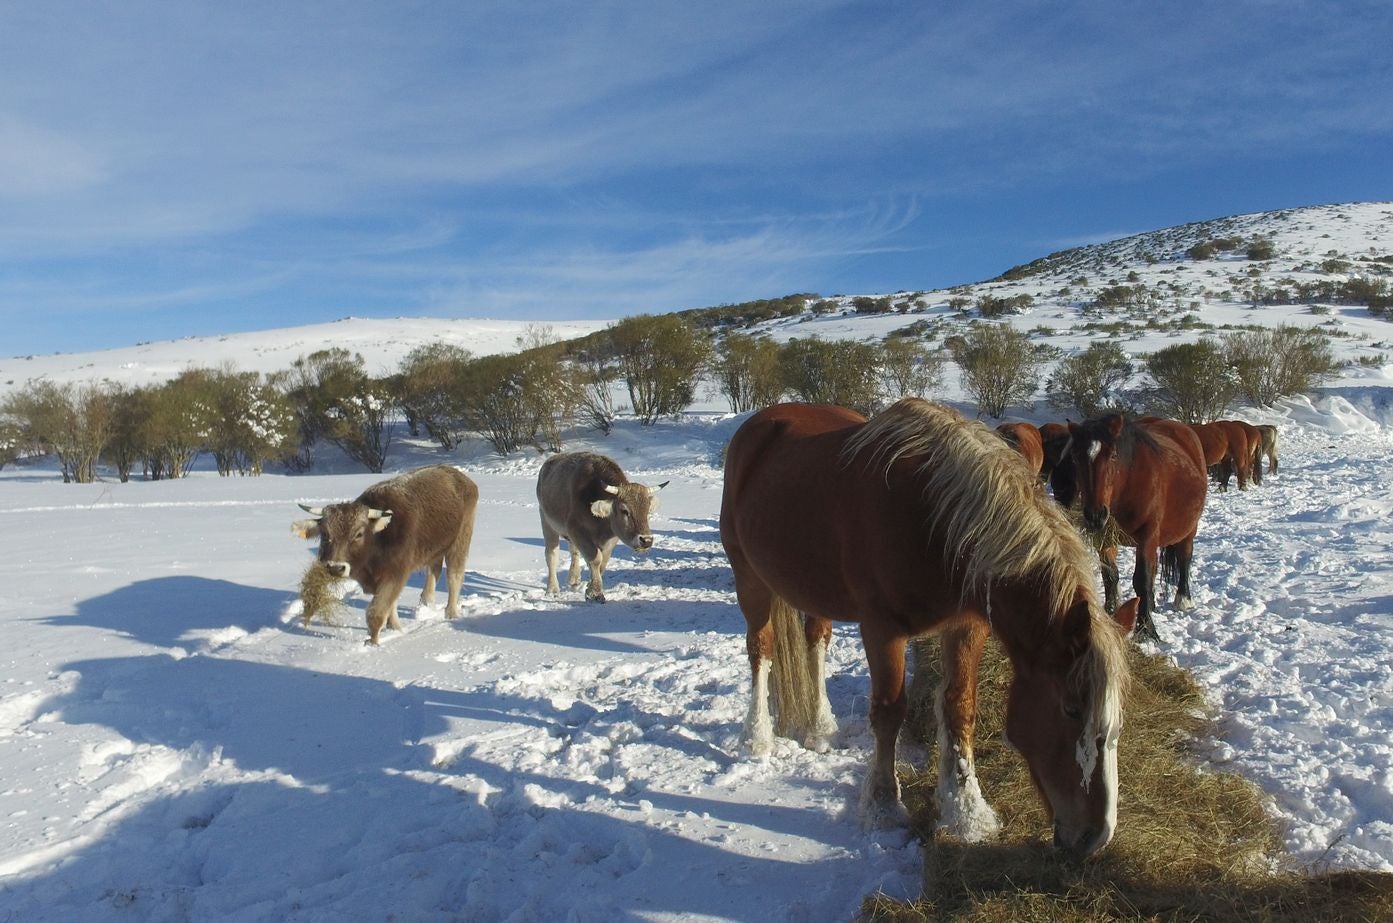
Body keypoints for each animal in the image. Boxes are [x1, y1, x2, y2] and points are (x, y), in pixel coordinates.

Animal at [534, 453, 665, 598]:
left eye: (647, 511)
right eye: (624, 511)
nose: (646, 540)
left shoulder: (610, 538)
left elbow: (603, 562)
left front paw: (590, 587)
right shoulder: (577, 530)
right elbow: (595, 559)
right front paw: (595, 592)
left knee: (574, 551)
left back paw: (574, 579)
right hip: (546, 521)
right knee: (552, 555)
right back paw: (552, 589)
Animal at [718, 398, 1131, 857]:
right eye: (1071, 709)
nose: (1096, 837)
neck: (935, 522)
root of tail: (761, 422)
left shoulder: (967, 626)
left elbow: (959, 706)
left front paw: (967, 812)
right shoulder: (882, 631)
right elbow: (888, 713)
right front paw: (884, 806)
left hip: (812, 587)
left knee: (816, 641)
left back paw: (820, 727)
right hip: (749, 579)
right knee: (761, 649)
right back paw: (757, 737)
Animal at [1064, 414, 1209, 645]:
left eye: (1113, 455)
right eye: (1076, 457)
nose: (1095, 514)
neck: (1128, 482)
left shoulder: (1147, 536)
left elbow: (1141, 580)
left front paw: (1146, 631)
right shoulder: (1105, 538)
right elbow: (1111, 576)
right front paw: (1110, 614)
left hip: (1188, 529)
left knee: (1184, 558)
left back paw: (1183, 599)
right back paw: (1151, 604)